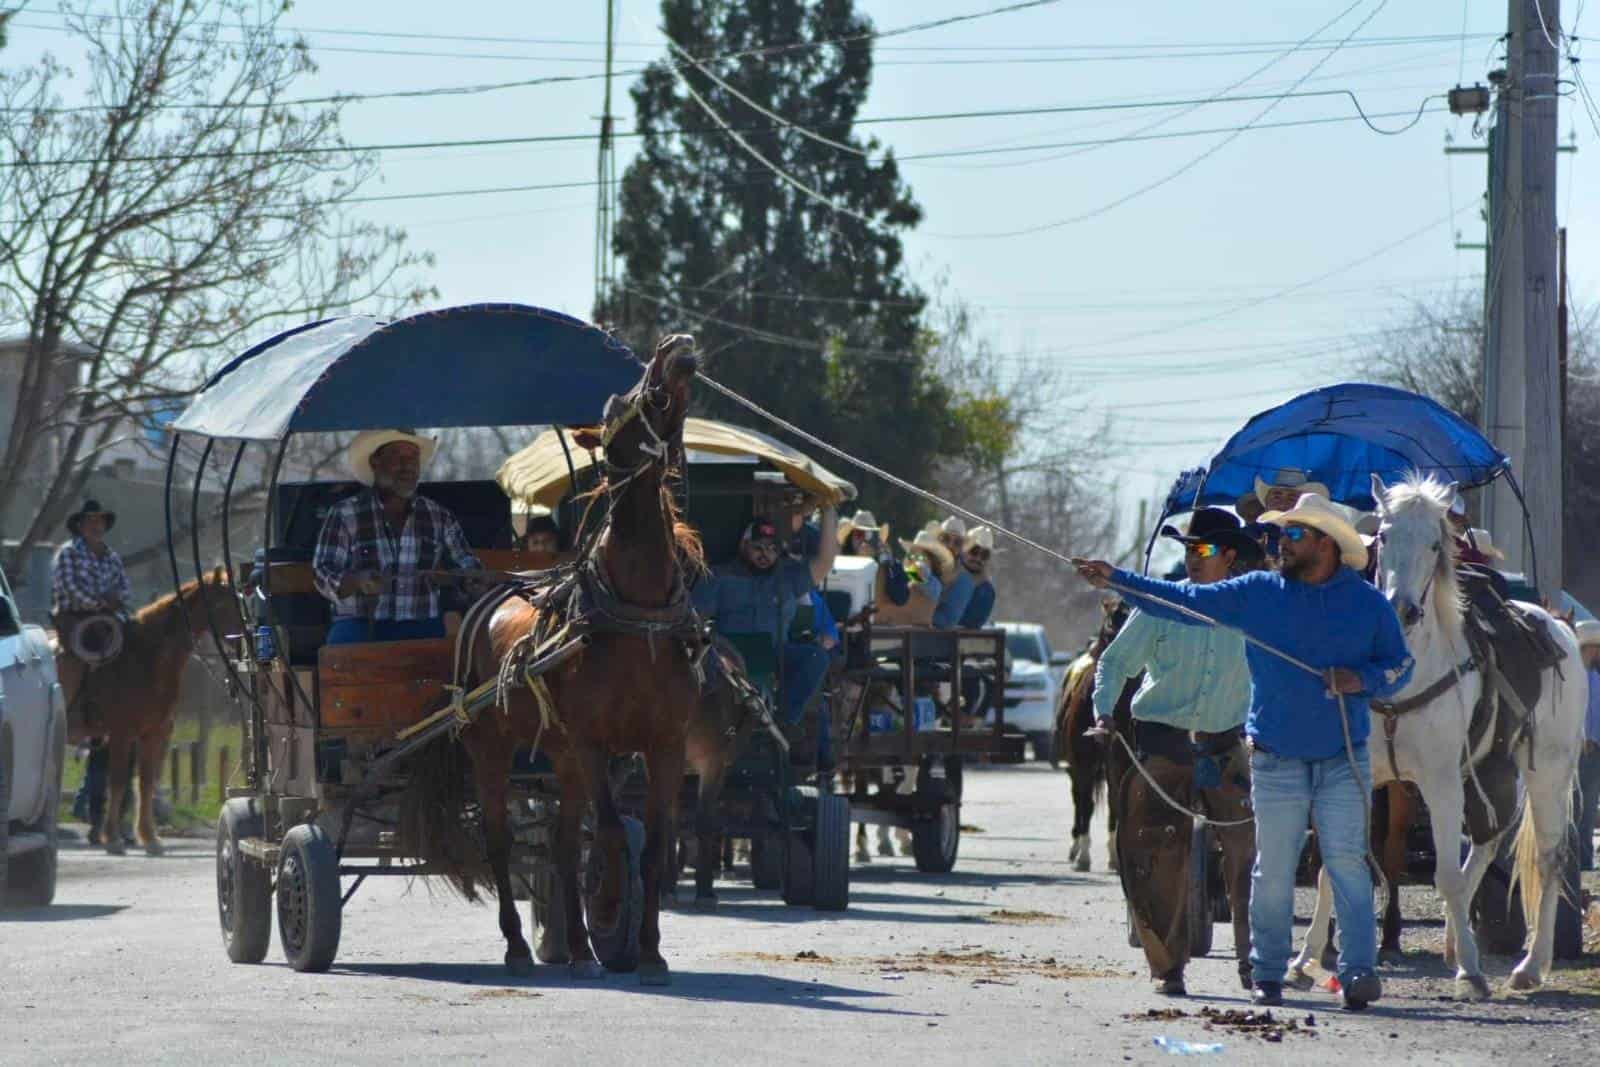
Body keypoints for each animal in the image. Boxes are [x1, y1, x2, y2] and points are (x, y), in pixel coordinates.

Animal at [58, 566, 238, 857]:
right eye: (222, 603)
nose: (243, 638)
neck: (146, 658)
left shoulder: (154, 733)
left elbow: (145, 783)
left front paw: (150, 838)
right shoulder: (121, 733)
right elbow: (118, 782)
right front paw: (114, 839)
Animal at [1056, 598, 1132, 870]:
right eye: (1109, 625)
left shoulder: (1120, 761)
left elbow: (1115, 804)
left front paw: (1115, 856)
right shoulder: (1083, 762)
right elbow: (1086, 804)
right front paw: (1084, 856)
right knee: (1079, 799)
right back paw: (1076, 847)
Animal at [1286, 473, 1587, 991]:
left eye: (1433, 543)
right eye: (1384, 536)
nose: (1402, 609)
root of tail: (1561, 626)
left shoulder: (1441, 781)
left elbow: (1444, 873)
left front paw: (1472, 971)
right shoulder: (1360, 777)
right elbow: (1333, 867)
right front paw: (1304, 958)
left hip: (1545, 770)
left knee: (1545, 859)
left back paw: (1528, 967)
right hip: (1487, 772)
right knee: (1487, 842)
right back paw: (1455, 937)